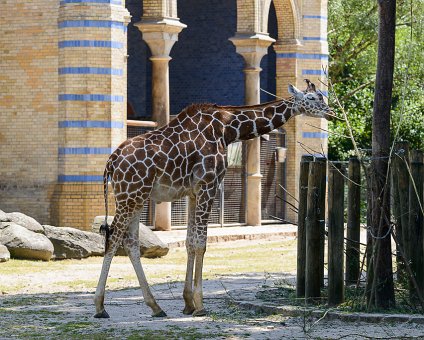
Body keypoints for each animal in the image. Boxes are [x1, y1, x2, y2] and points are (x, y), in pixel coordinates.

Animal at [94, 79, 332, 318]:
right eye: (312, 98)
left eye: (323, 96)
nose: (330, 112)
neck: (228, 130)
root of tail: (111, 162)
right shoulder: (209, 185)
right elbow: (201, 243)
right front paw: (200, 305)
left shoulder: (193, 192)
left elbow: (190, 242)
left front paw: (188, 303)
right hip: (129, 196)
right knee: (113, 238)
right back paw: (100, 307)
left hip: (137, 197)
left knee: (131, 243)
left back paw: (156, 306)